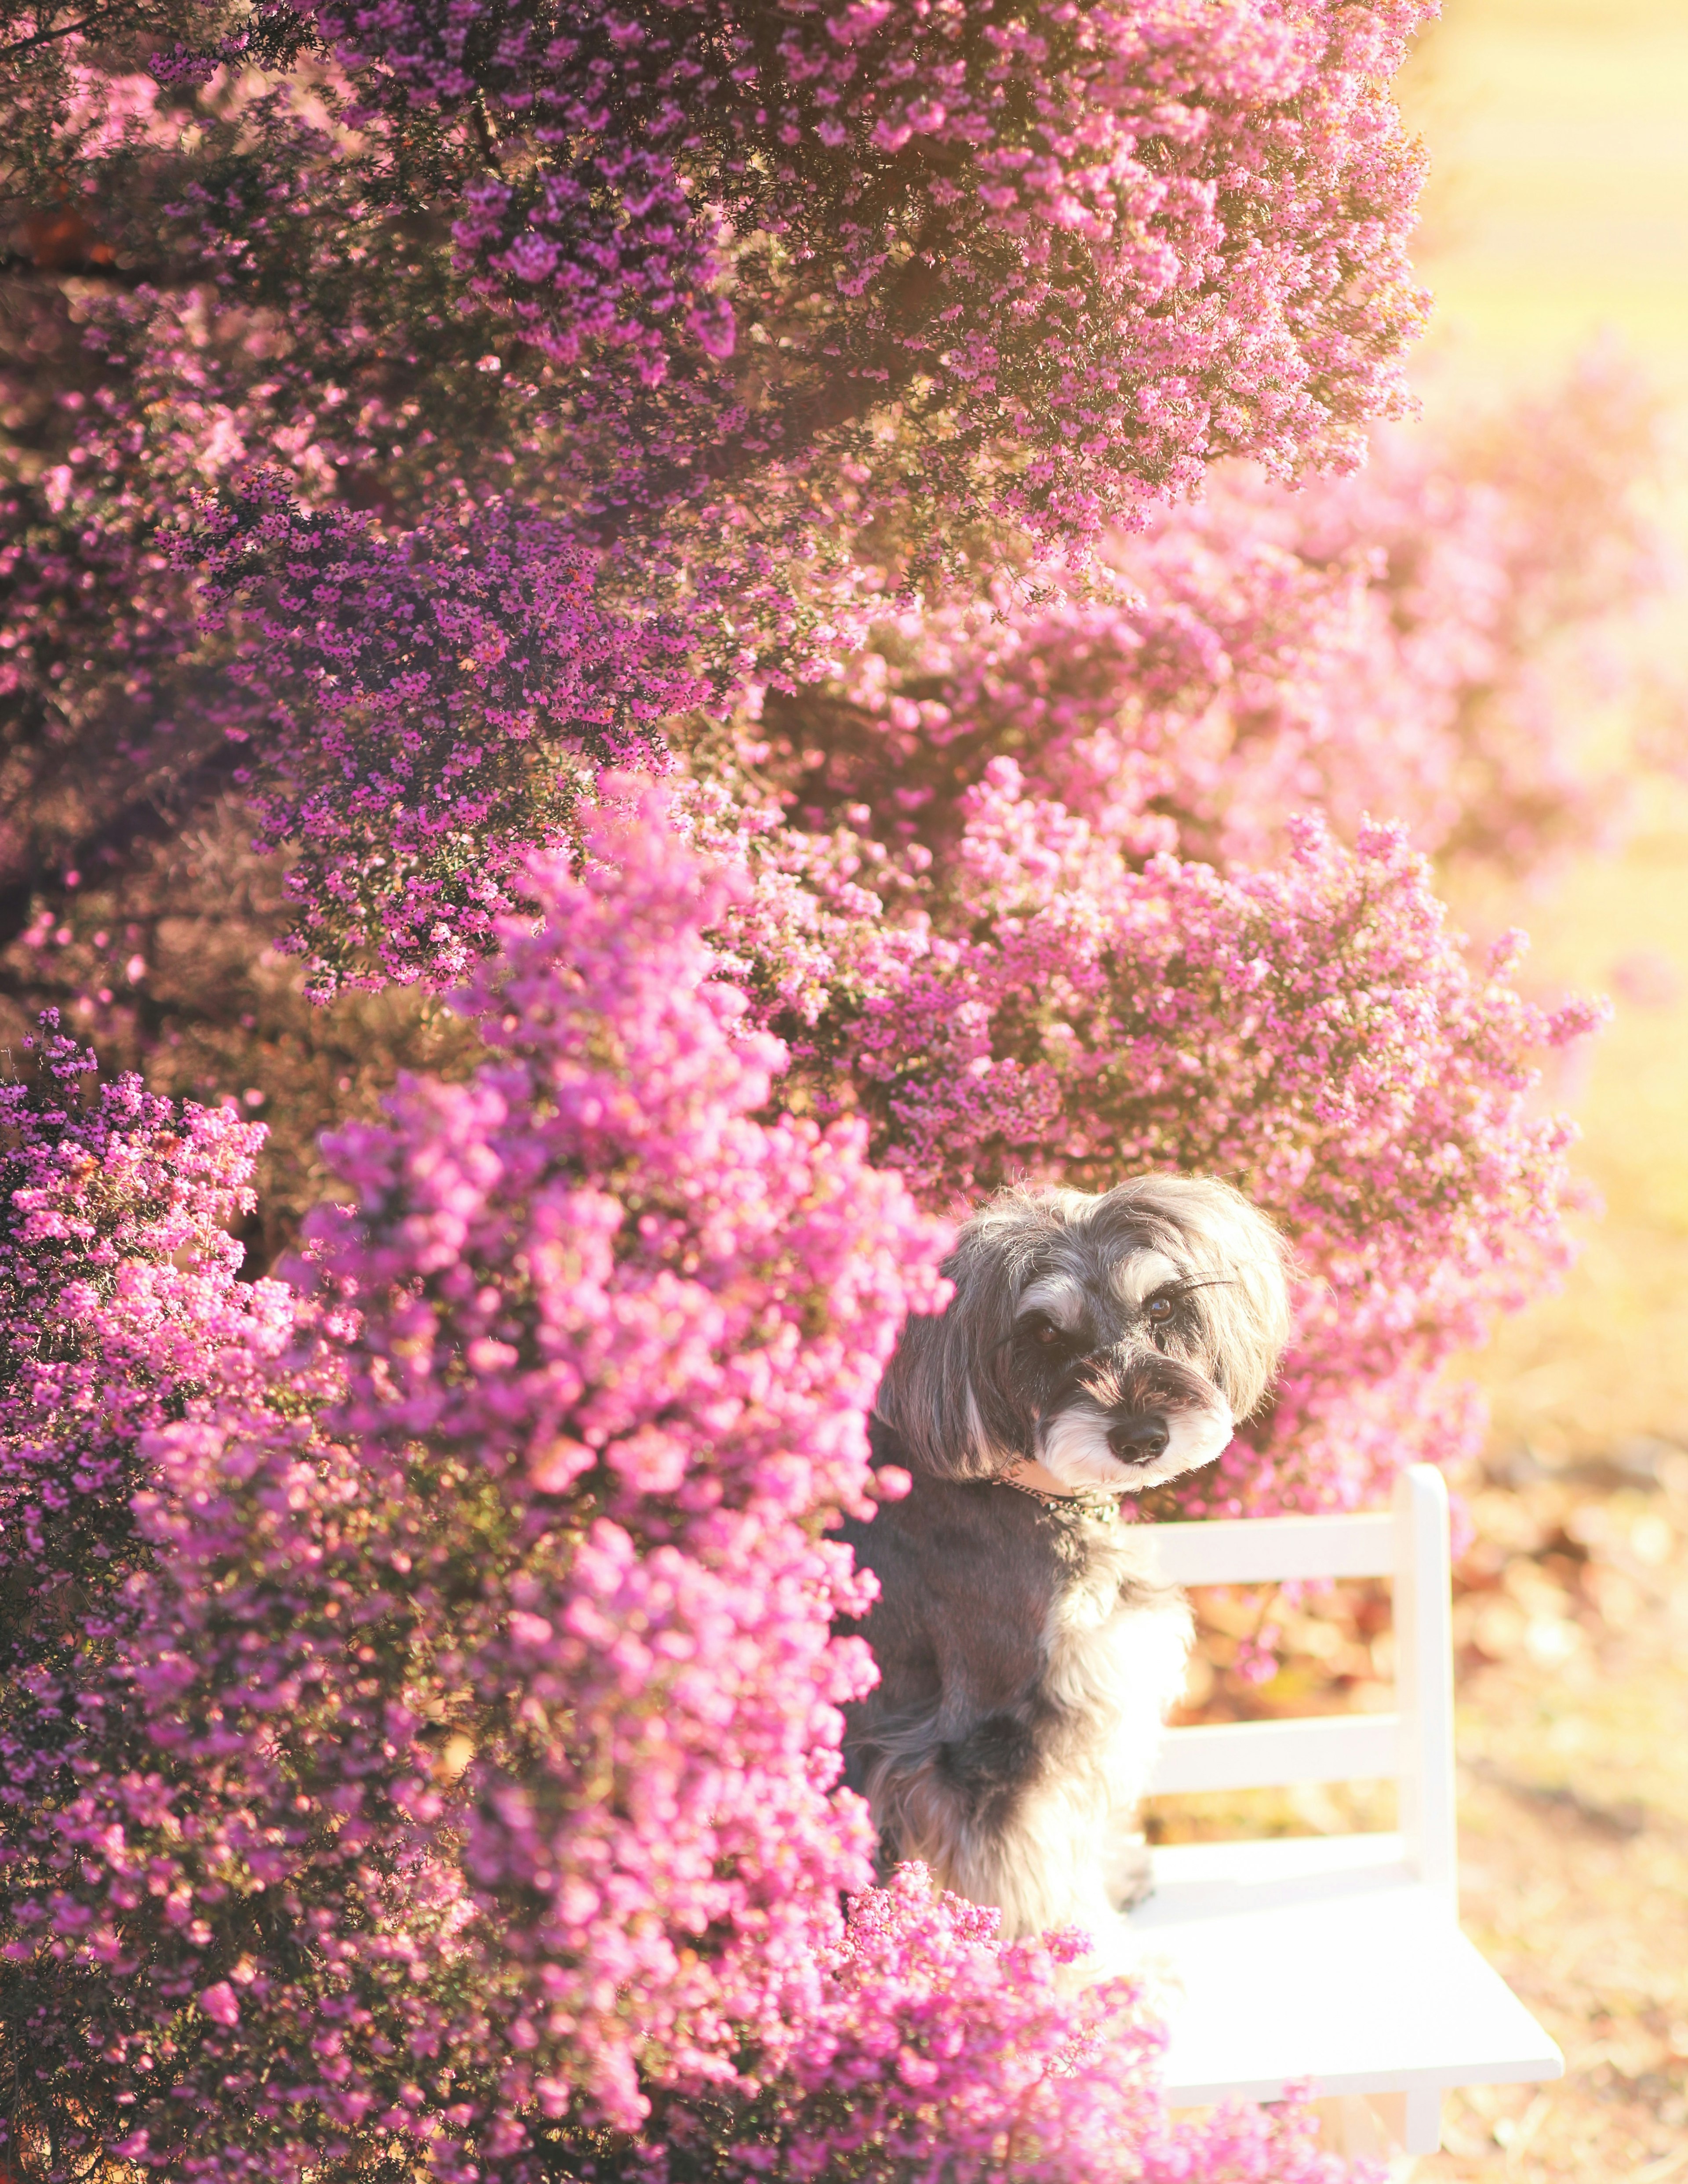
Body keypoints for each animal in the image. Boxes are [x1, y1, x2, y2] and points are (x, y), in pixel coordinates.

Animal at [838, 1179, 1292, 1948]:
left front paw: (1115, 1877)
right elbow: (1033, 1881)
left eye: (1162, 1306)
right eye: (1044, 1333)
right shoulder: (985, 1746)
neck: (1032, 1495)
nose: (1142, 1439)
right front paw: (1091, 1965)